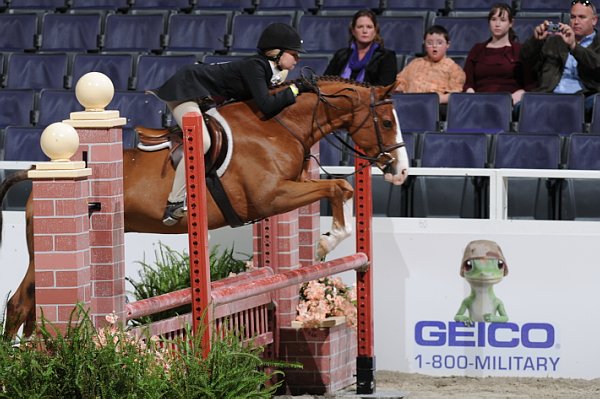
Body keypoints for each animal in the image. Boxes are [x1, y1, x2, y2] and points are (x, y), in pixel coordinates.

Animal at [0, 76, 410, 340]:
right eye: (385, 121)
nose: (401, 172)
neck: (279, 126)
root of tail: (36, 172)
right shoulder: (270, 197)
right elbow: (337, 186)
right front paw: (326, 242)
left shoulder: (283, 192)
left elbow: (341, 187)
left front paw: (326, 242)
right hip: (45, 249)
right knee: (20, 304)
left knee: (26, 306)